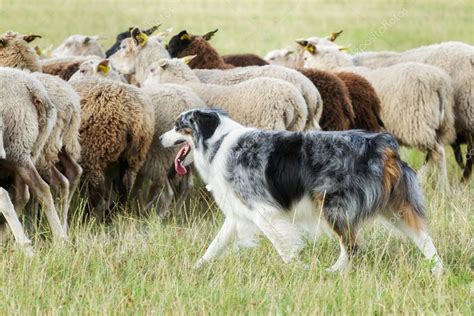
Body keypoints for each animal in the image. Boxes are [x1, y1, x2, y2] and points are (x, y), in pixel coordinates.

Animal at [160, 108, 444, 274]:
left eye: (178, 126)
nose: (160, 139)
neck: (217, 141)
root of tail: (380, 143)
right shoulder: (239, 211)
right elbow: (215, 245)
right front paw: (197, 267)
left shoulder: (263, 210)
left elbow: (282, 244)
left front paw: (297, 267)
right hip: (395, 207)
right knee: (423, 237)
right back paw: (437, 270)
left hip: (332, 205)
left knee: (352, 246)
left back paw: (333, 272)